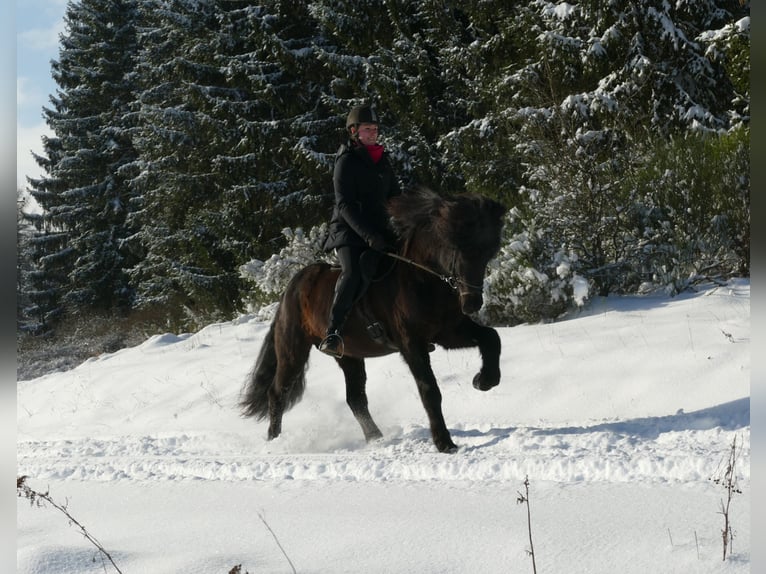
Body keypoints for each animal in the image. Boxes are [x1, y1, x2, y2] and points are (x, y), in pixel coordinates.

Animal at [240, 188, 510, 454]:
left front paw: (484, 381)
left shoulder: (448, 332)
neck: (421, 279)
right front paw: (444, 443)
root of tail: (292, 287)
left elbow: (492, 338)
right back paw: (275, 441)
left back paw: (375, 438)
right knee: (278, 393)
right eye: (455, 246)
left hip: (349, 355)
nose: (472, 303)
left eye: (488, 252)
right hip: (293, 349)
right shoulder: (412, 344)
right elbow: (429, 390)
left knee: (355, 398)